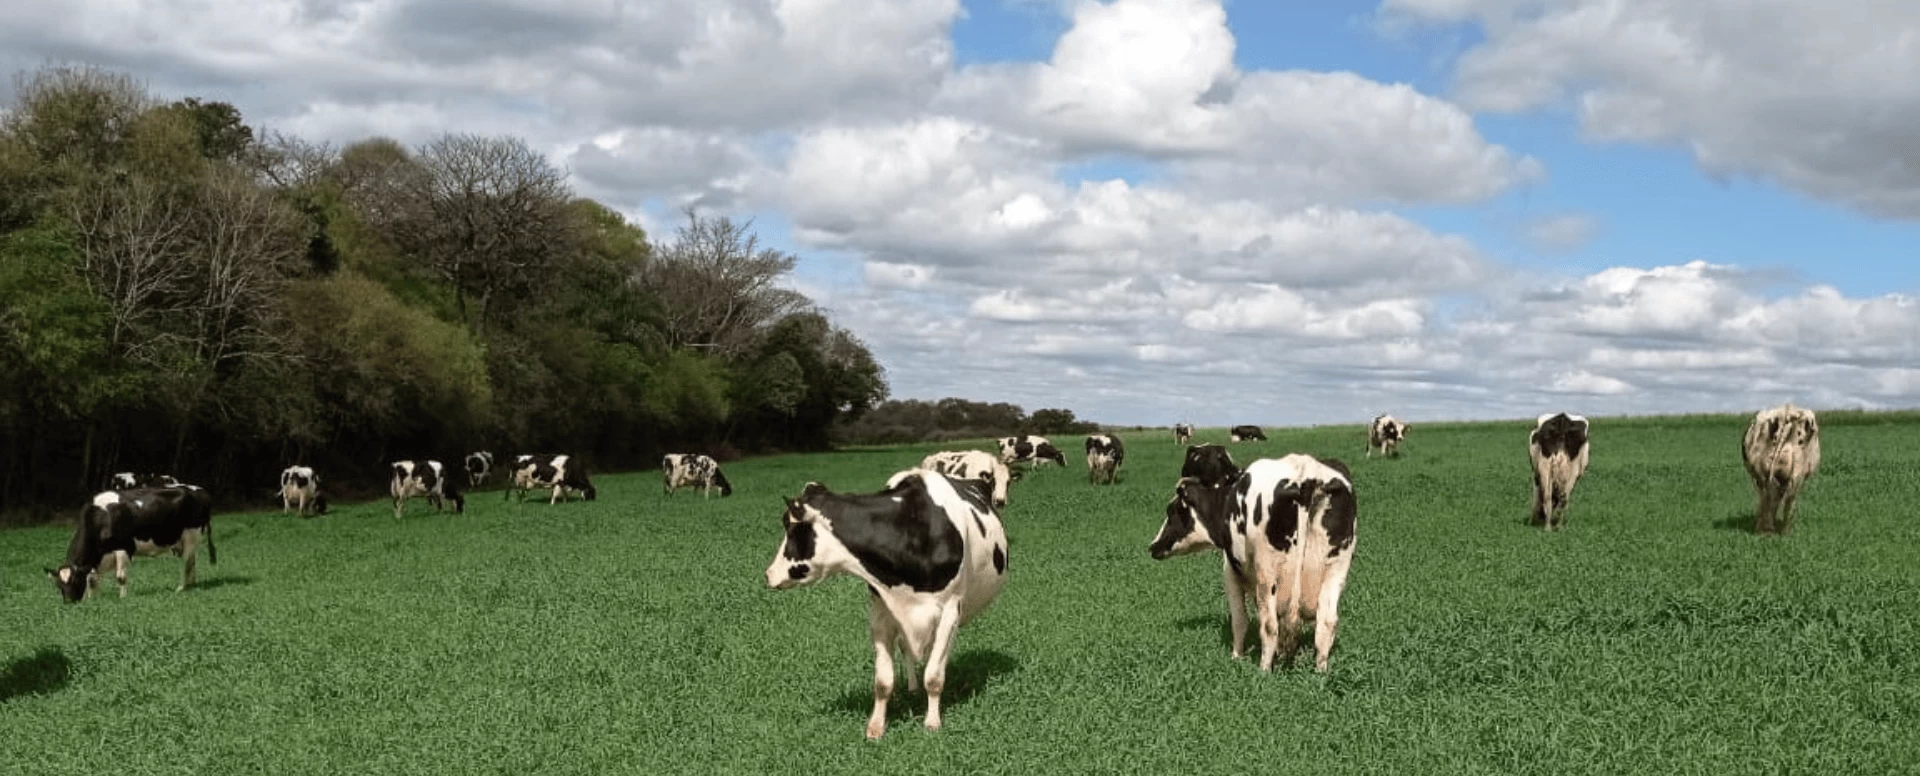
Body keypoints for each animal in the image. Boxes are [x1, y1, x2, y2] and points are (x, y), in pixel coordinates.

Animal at [46, 485, 217, 602]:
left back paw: (181, 587)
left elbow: (120, 577)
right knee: (192, 562)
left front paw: (123, 597)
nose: (69, 602)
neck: (102, 519)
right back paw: (192, 584)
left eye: (75, 581)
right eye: (58, 585)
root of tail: (199, 490)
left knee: (186, 563)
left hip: (191, 535)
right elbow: (92, 580)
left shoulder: (123, 548)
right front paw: (93, 599)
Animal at [764, 469, 1009, 740]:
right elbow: (883, 680)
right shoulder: (881, 611)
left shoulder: (949, 609)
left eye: (791, 529)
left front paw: (932, 722)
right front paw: (876, 726)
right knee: (906, 648)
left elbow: (934, 675)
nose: (768, 574)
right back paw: (912, 687)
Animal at [1148, 454, 1356, 673]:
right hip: (1337, 567)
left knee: (1269, 625)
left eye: (1171, 511)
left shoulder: (1229, 572)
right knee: (1327, 623)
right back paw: (1320, 672)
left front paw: (1236, 657)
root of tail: (1306, 472)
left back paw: (1263, 671)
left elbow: (1239, 620)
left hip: (1267, 571)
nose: (1153, 546)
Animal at [1742, 404, 1822, 535]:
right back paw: (1782, 530)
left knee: (1772, 495)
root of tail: (1787, 411)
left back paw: (1770, 529)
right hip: (1797, 473)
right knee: (1785, 498)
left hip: (1767, 471)